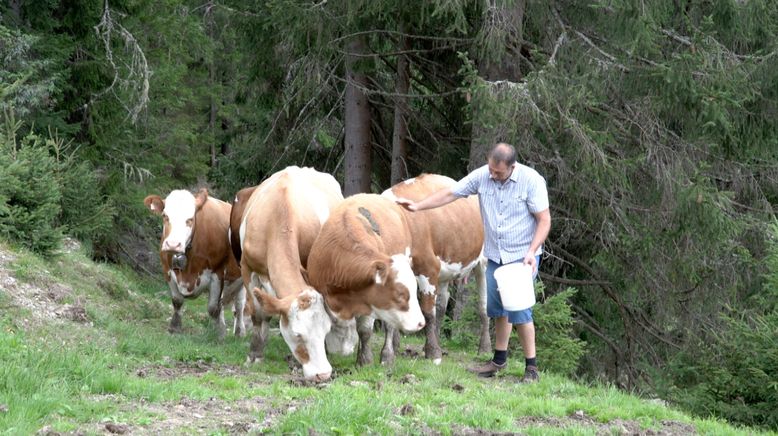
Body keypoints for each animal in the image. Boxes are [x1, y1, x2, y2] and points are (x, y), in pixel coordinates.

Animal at [143, 187, 246, 338]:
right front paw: (175, 327)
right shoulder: (167, 270)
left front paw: (220, 333)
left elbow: (213, 308)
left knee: (239, 306)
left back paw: (239, 332)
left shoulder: (217, 273)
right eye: (165, 216)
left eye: (190, 219)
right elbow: (177, 301)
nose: (173, 244)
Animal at [233, 167, 354, 382]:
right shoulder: (247, 268)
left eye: (326, 329)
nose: (323, 374)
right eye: (298, 335)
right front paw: (255, 353)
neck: (275, 217)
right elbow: (259, 313)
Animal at [304, 192, 424, 366]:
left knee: (389, 326)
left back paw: (387, 355)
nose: (421, 323)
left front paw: (365, 360)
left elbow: (365, 330)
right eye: (400, 294)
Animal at [378, 174, 488, 364]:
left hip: (483, 263)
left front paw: (433, 353)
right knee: (443, 303)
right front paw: (387, 354)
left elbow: (428, 313)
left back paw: (484, 348)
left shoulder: (428, 268)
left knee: (483, 306)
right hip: (445, 271)